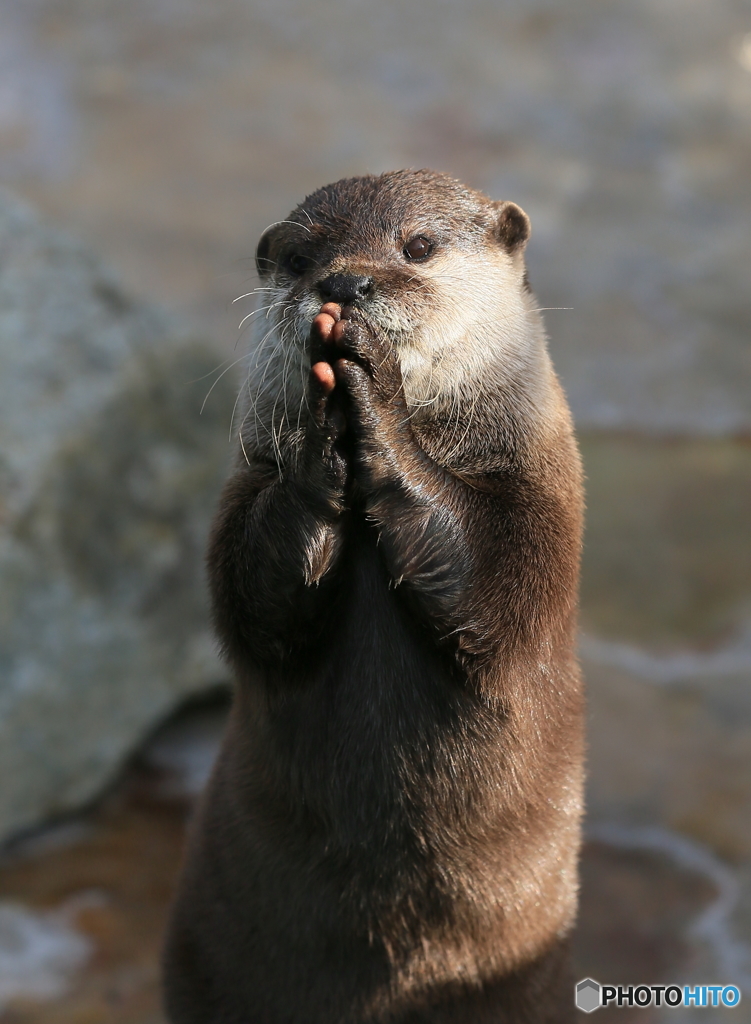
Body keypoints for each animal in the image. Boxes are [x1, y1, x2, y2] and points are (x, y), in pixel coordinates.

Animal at [162, 169, 586, 1024]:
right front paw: (325, 424)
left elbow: (491, 596)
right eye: (300, 258)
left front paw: (368, 393)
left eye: (417, 245)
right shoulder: (242, 498)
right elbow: (253, 605)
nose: (343, 284)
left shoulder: (537, 514)